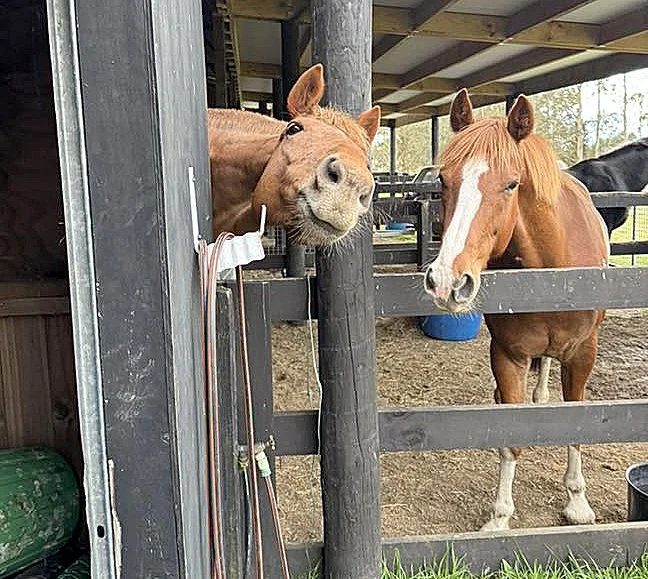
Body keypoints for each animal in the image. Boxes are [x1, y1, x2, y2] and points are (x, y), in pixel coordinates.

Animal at [423, 89, 609, 531]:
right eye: (442, 181)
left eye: (511, 184)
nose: (447, 281)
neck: (555, 270)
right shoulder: (508, 355)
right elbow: (510, 437)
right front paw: (500, 517)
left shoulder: (583, 354)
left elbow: (577, 421)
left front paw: (578, 503)